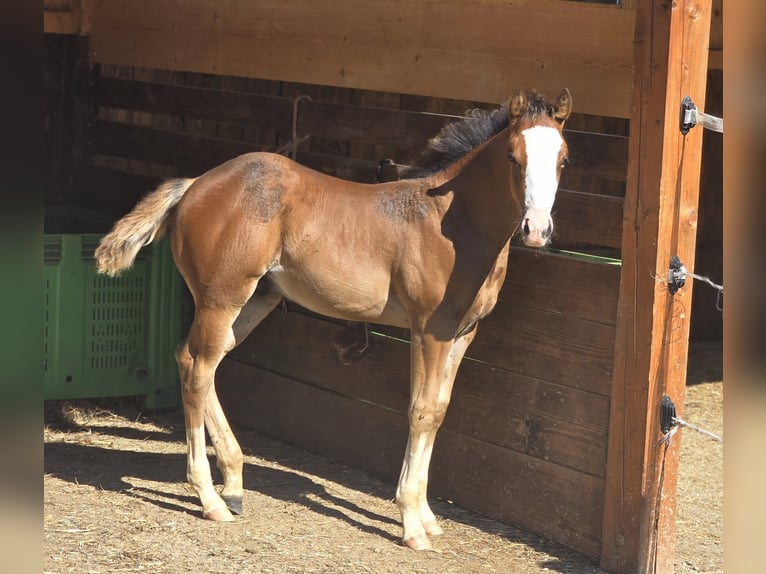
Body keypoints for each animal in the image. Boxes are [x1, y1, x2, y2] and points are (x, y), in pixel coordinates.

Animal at [94, 88, 572, 550]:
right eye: (512, 155)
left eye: (563, 158)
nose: (536, 230)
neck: (453, 225)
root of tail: (195, 184)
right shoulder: (429, 329)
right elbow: (420, 412)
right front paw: (411, 524)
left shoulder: (463, 333)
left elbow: (438, 410)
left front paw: (429, 518)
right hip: (221, 299)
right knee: (196, 368)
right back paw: (210, 499)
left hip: (255, 300)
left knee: (195, 360)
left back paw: (233, 484)